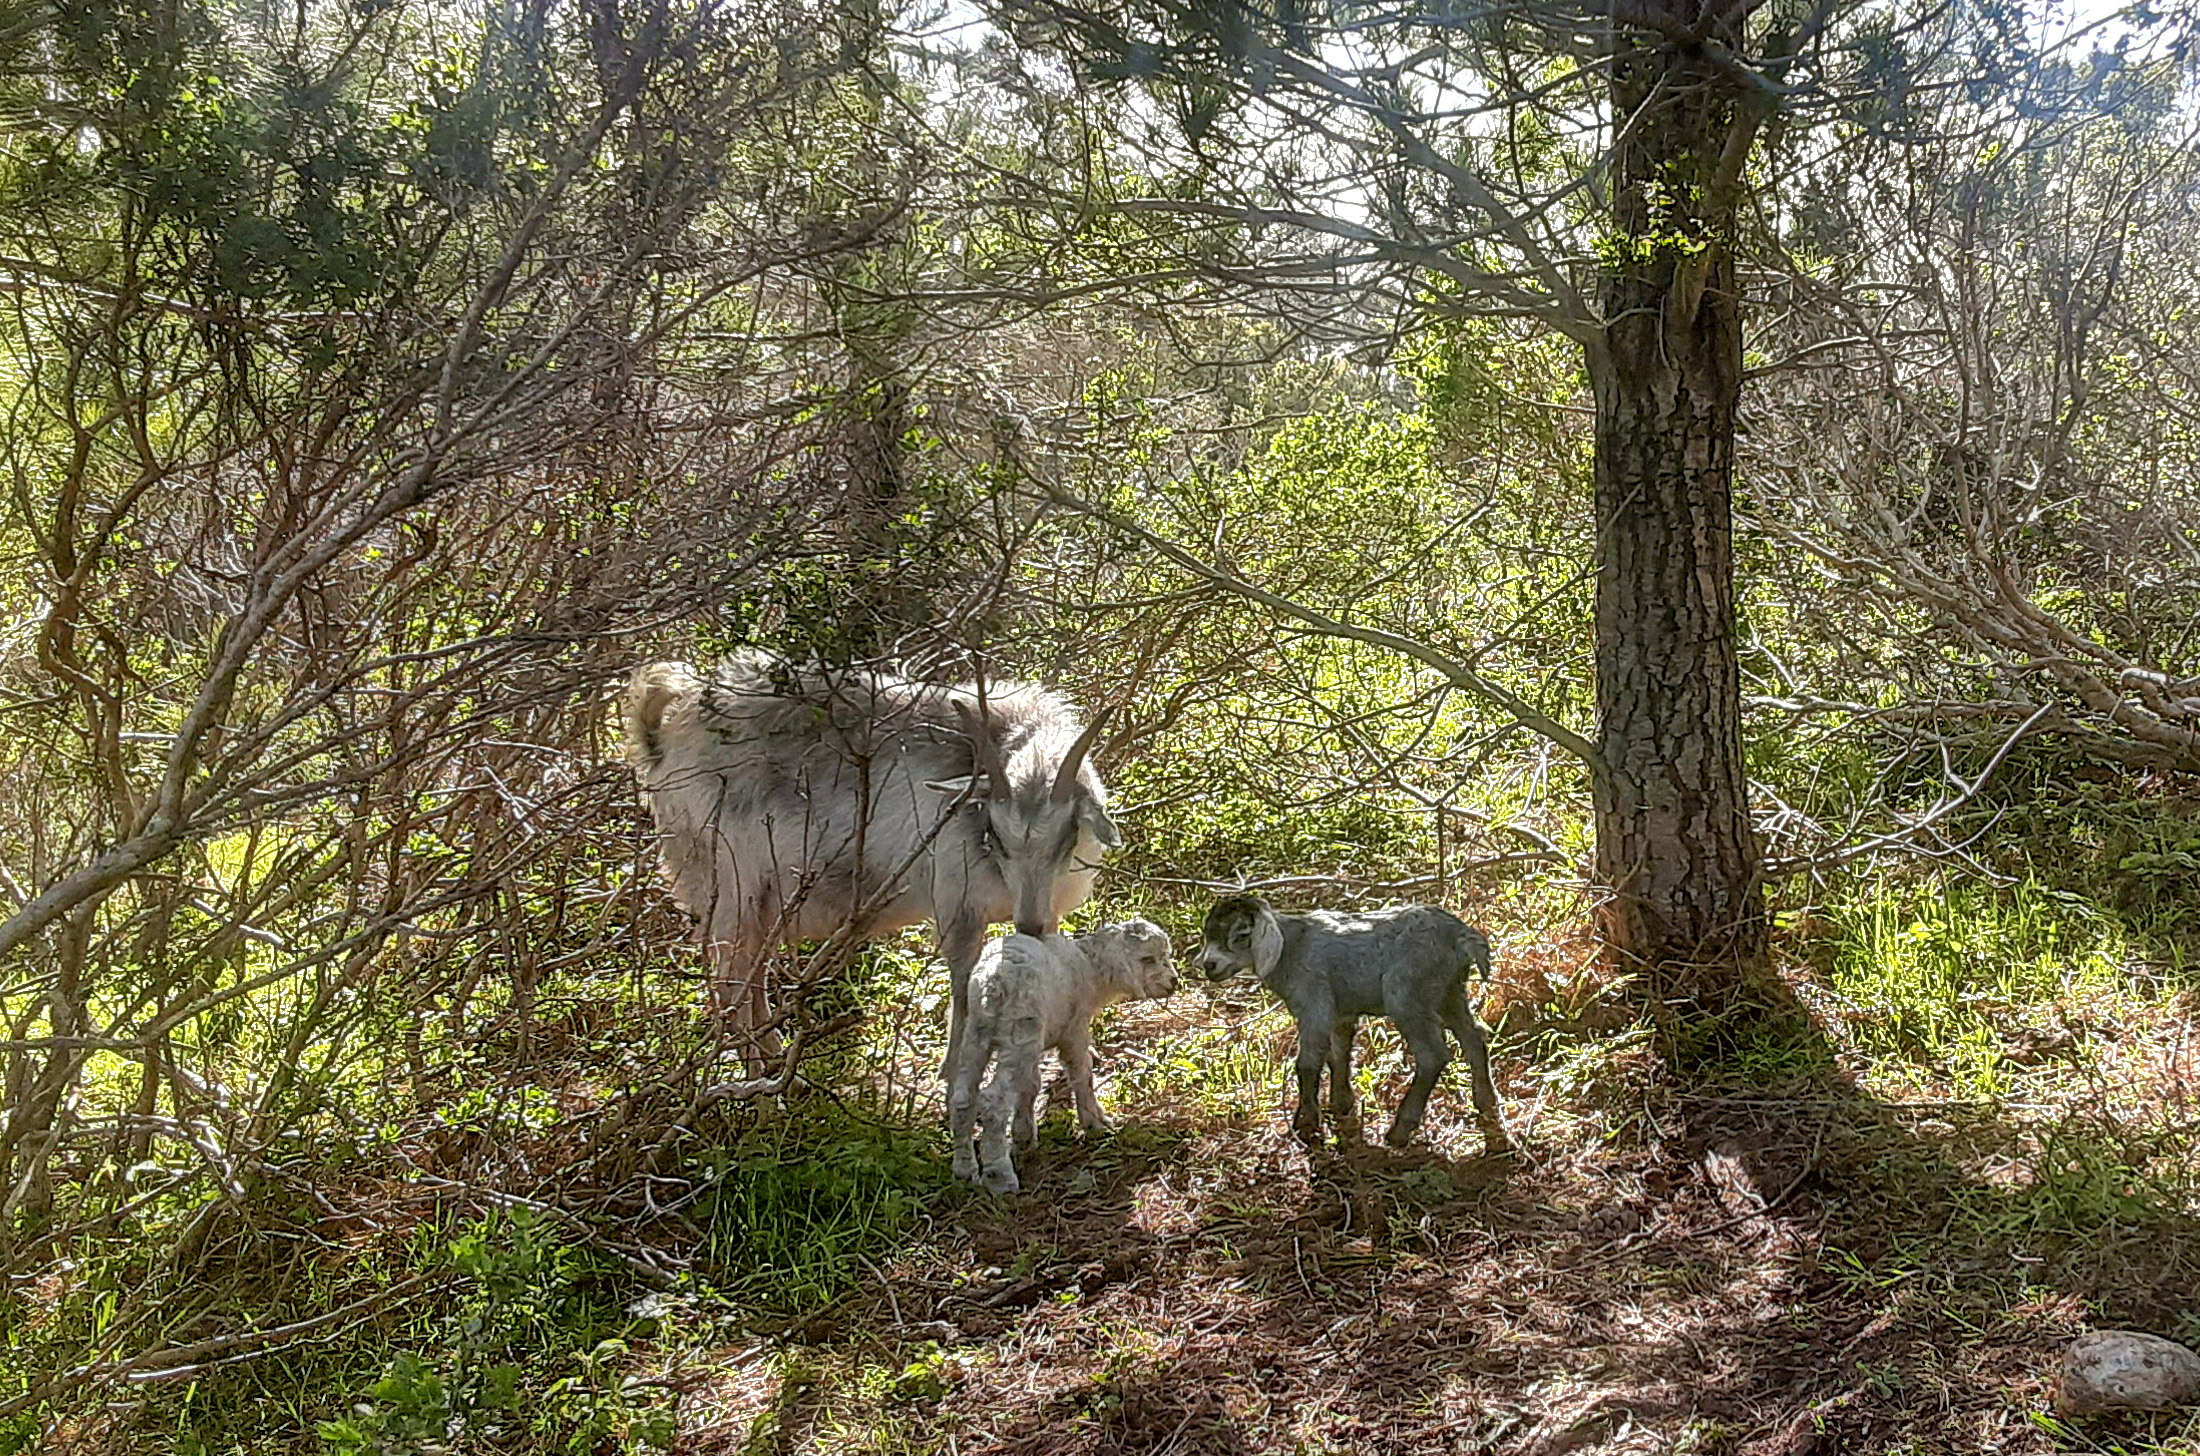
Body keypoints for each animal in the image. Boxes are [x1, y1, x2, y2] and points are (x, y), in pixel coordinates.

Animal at [629, 655, 1126, 1068]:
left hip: (765, 901)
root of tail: (669, 729)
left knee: (750, 979)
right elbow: (963, 990)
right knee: (730, 984)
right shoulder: (957, 908)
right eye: (995, 836)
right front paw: (953, 1074)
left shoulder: (1045, 910)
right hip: (733, 883)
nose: (1027, 924)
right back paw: (765, 1090)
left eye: (1065, 837)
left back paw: (775, 1064)